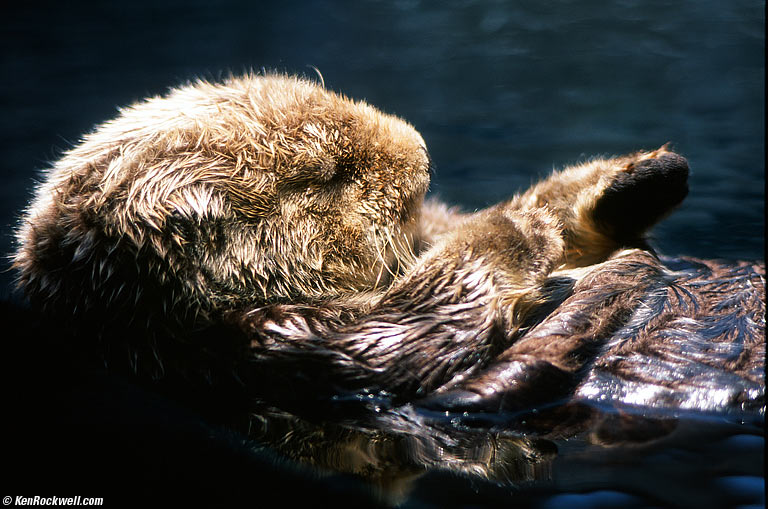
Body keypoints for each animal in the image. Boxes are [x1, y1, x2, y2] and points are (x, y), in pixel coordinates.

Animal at [13, 74, 764, 418]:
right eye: (327, 174)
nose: (422, 152)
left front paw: (643, 178)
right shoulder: (276, 348)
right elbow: (431, 329)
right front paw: (517, 229)